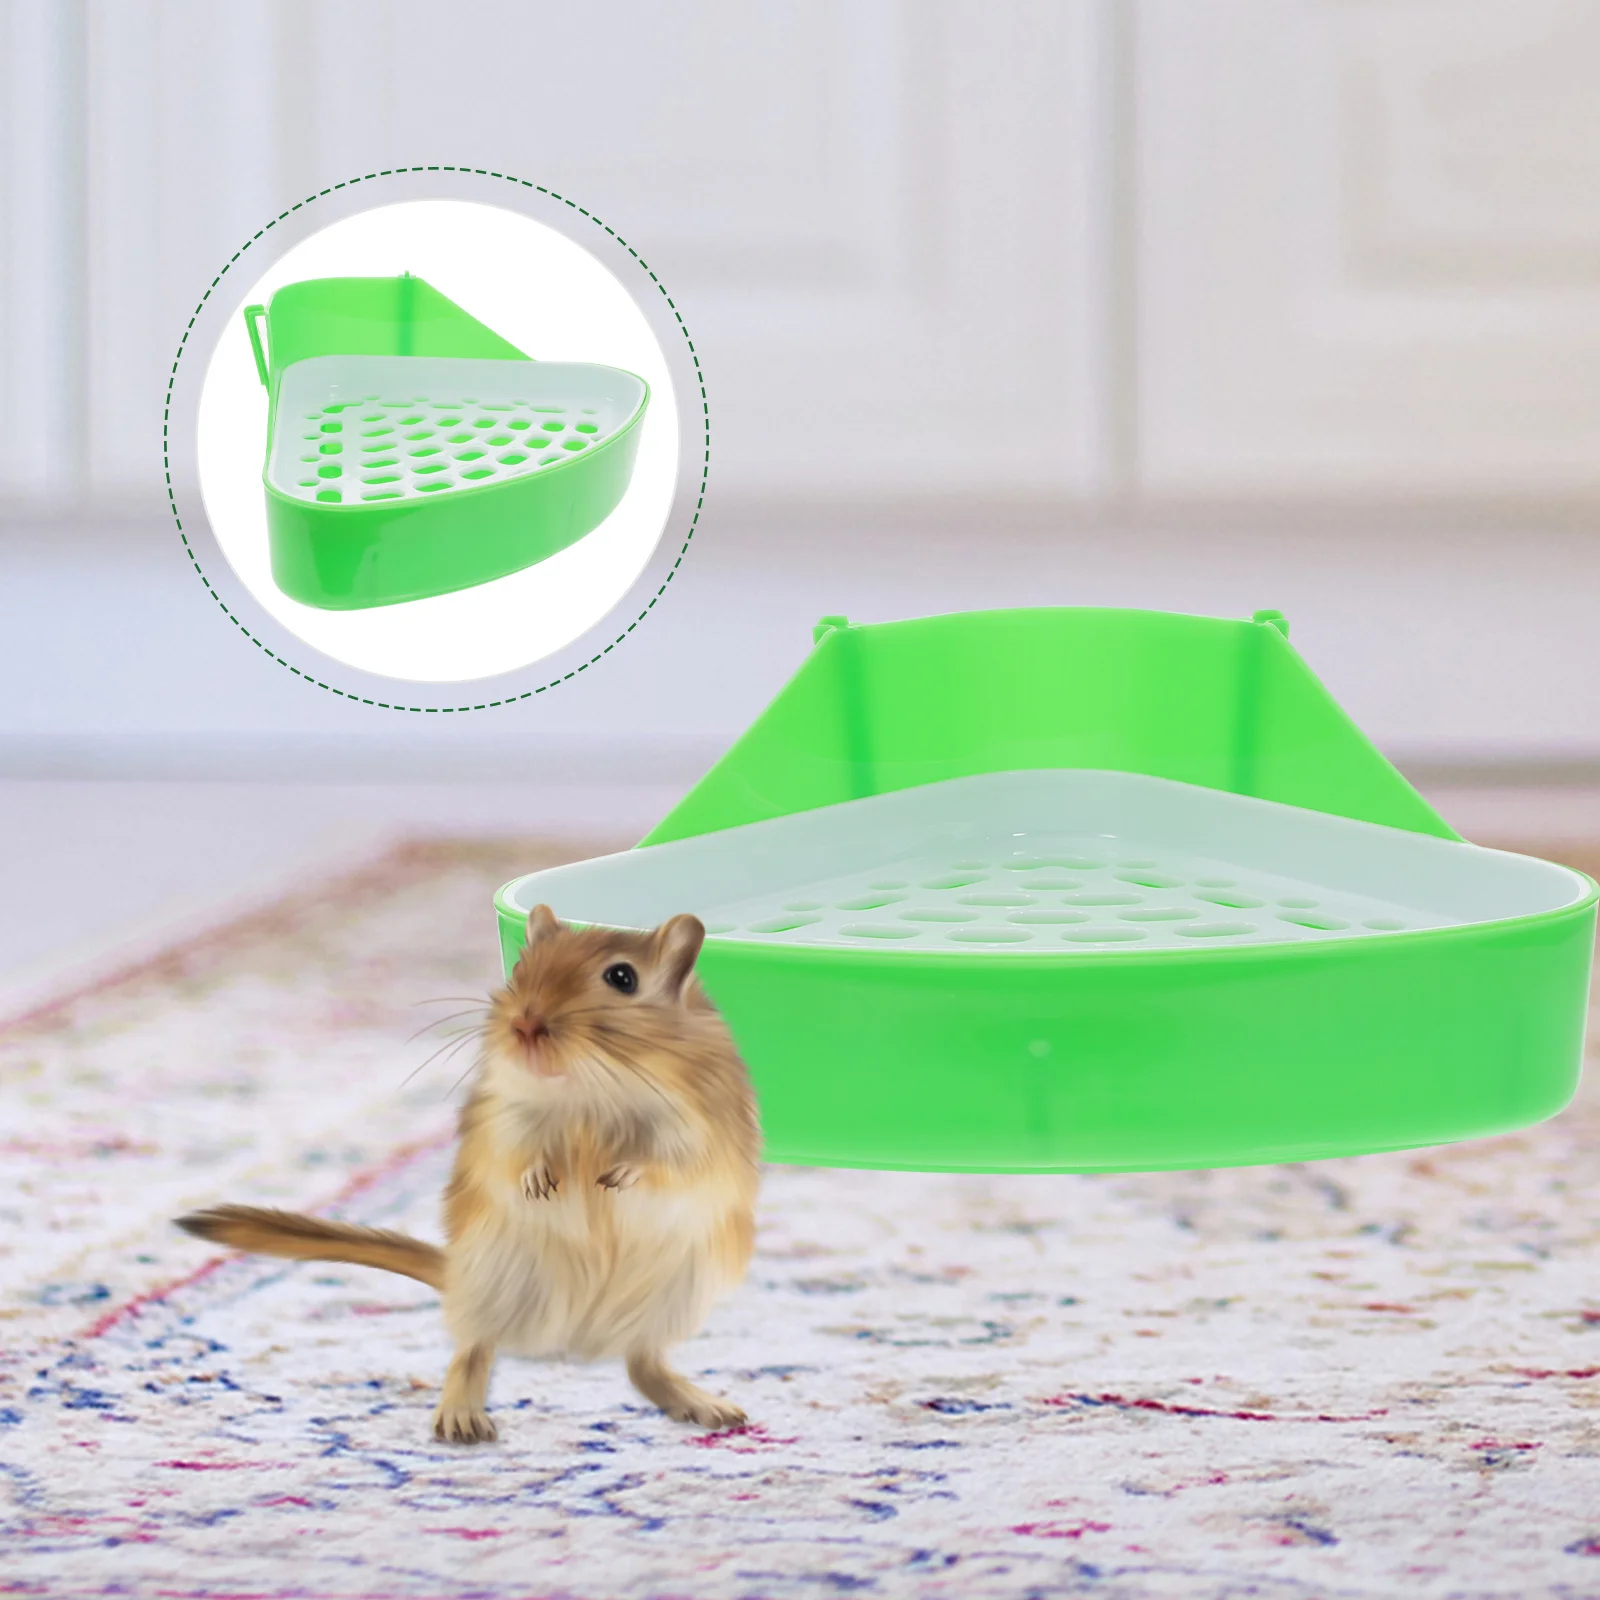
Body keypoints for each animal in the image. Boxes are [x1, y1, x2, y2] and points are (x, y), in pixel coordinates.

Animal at [176, 905, 761, 1444]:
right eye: (521, 967)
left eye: (622, 977)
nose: (523, 1025)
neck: (590, 1091)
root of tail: (573, 1339)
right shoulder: (504, 1116)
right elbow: (517, 1155)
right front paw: (542, 1184)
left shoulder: (697, 1128)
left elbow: (667, 1163)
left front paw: (614, 1178)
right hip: (493, 1277)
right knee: (472, 1351)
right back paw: (461, 1418)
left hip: (670, 1299)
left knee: (643, 1365)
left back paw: (710, 1406)